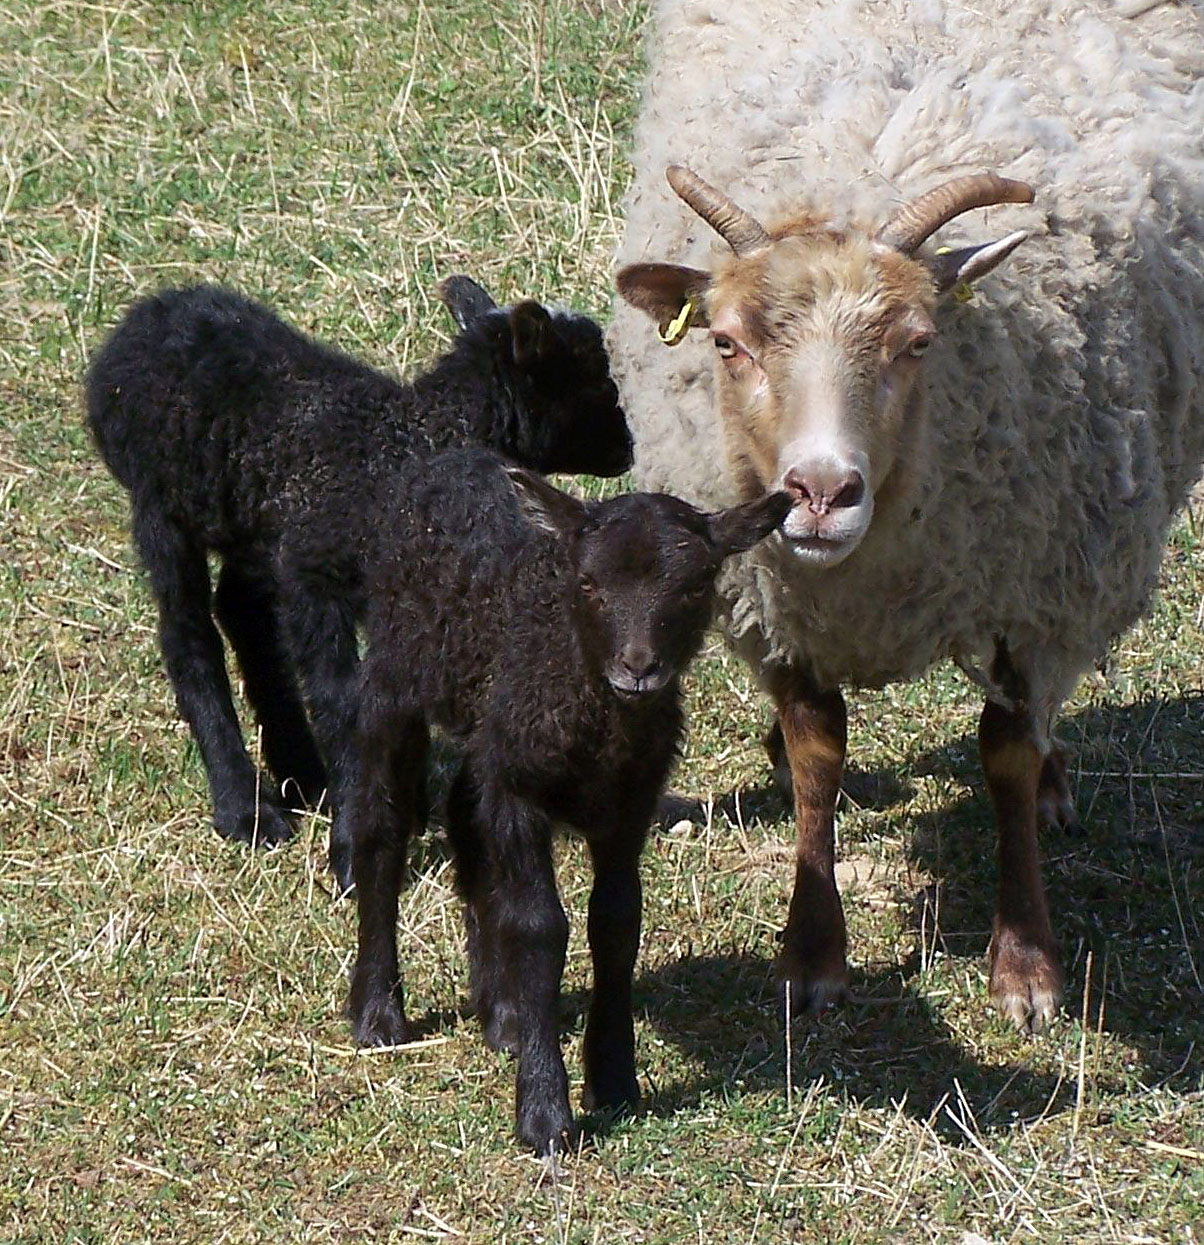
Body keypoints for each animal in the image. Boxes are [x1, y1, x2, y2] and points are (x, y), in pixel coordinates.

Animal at [84, 282, 630, 886]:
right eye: (596, 380)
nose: (629, 447)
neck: (407, 443)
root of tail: (148, 313)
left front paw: (406, 806)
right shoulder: (316, 581)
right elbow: (341, 703)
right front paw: (353, 850)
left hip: (254, 529)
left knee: (244, 618)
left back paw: (303, 776)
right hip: (160, 506)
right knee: (189, 636)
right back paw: (244, 808)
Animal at [346, 445, 791, 1145]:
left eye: (696, 588)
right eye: (587, 585)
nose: (638, 668)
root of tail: (454, 455)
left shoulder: (627, 801)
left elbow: (616, 923)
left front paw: (612, 1079)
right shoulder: (521, 791)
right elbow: (537, 927)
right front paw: (544, 1112)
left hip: (491, 730)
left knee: (466, 821)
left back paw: (501, 1013)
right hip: (396, 671)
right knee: (380, 827)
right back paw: (378, 1013)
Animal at [612, 0, 1204, 1030]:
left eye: (919, 340)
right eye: (724, 341)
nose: (820, 492)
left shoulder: (1037, 594)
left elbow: (1006, 755)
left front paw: (1027, 966)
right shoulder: (776, 609)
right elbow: (817, 755)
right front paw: (812, 955)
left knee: (1037, 726)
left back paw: (1055, 784)